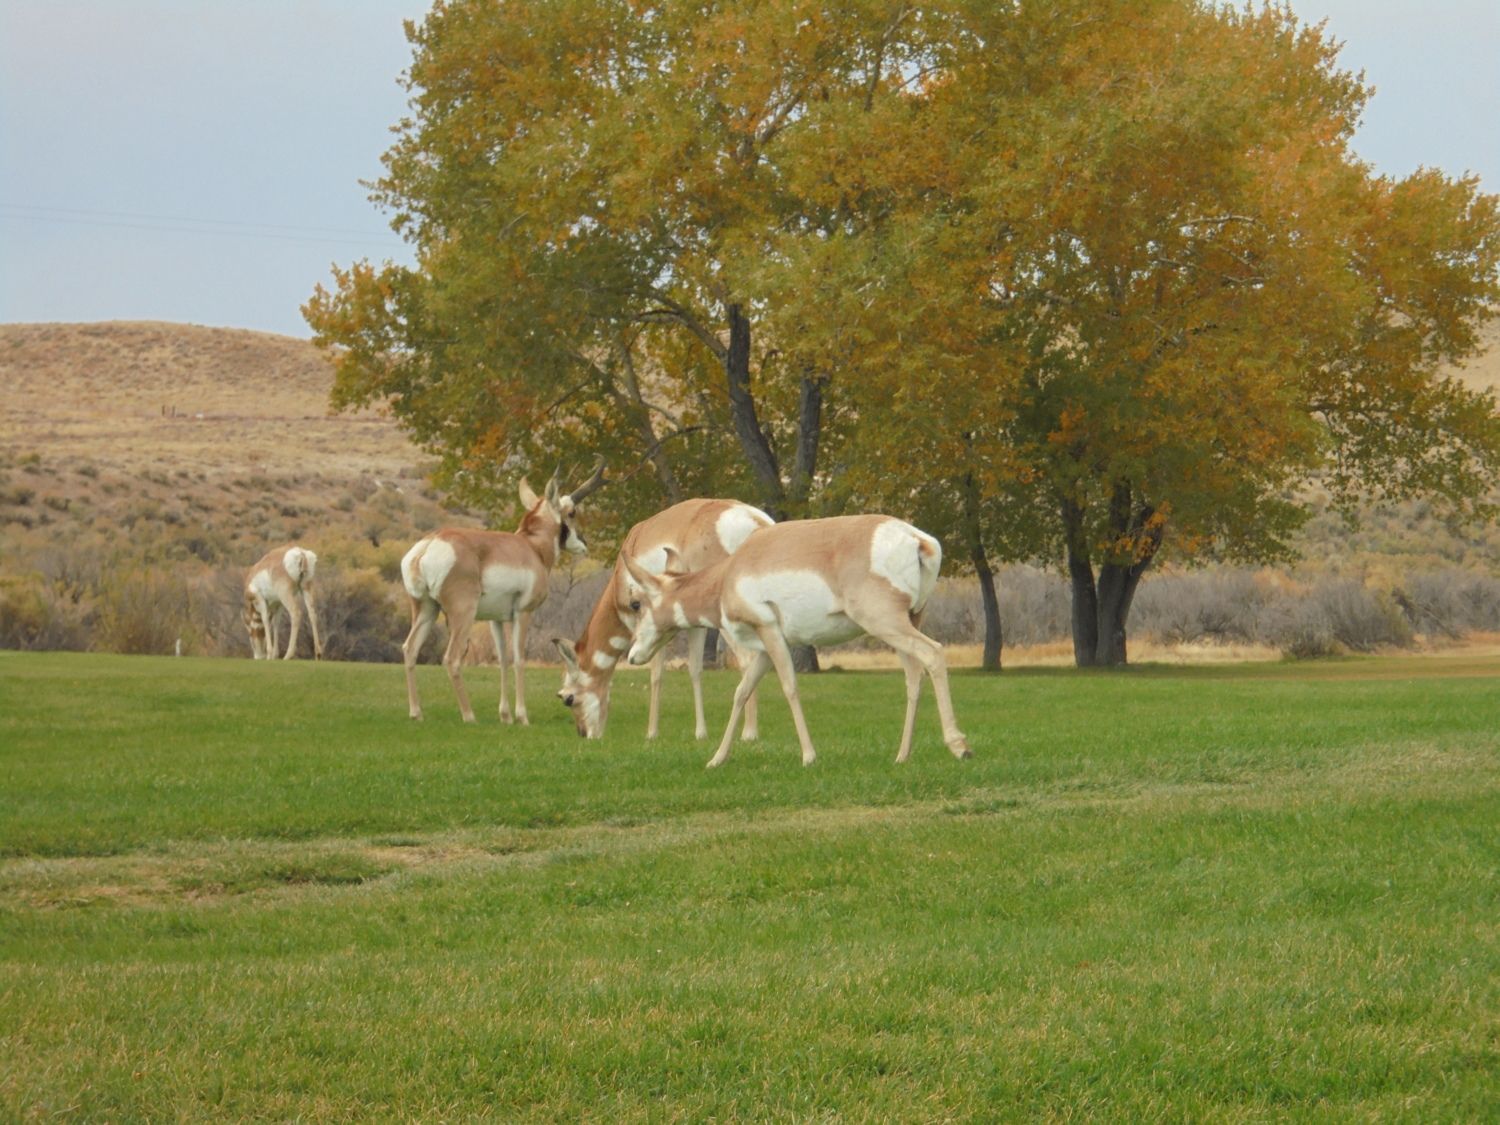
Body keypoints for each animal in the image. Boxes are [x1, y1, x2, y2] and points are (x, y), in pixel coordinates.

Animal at [402, 458, 606, 724]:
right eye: (571, 512)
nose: (584, 544)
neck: (531, 547)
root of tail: (429, 545)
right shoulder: (523, 612)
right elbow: (519, 659)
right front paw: (522, 717)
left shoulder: (495, 620)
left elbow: (502, 661)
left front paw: (506, 717)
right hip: (462, 614)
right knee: (452, 658)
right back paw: (469, 716)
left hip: (426, 609)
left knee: (410, 649)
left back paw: (417, 714)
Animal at [553, 498, 774, 740]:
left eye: (568, 698)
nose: (584, 734)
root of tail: (756, 521)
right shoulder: (694, 625)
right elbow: (695, 669)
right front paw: (701, 733)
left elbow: (656, 673)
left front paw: (651, 733)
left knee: (747, 659)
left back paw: (749, 733)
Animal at [622, 515, 972, 768]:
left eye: (637, 603)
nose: (632, 656)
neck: (728, 575)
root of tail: (917, 540)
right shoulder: (764, 649)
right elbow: (741, 691)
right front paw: (716, 759)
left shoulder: (771, 632)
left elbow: (789, 686)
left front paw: (808, 756)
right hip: (906, 623)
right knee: (913, 676)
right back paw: (902, 755)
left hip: (886, 623)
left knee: (934, 653)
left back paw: (960, 746)